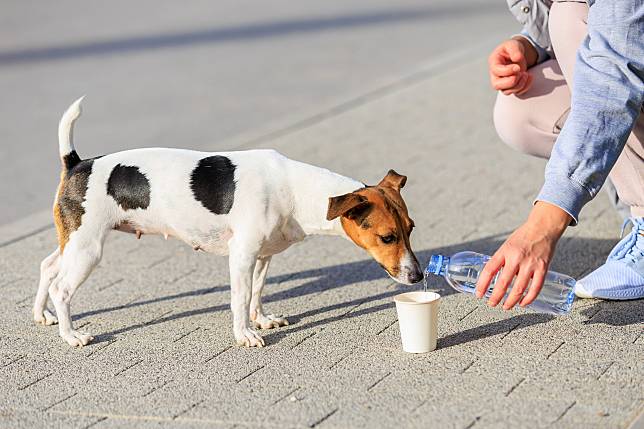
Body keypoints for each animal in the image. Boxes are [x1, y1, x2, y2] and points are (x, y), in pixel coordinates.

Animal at [35, 97, 422, 348]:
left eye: (411, 229)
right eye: (388, 237)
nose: (418, 276)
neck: (295, 189)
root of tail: (78, 163)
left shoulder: (263, 256)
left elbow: (258, 292)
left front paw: (261, 320)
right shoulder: (242, 256)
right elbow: (240, 298)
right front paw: (246, 334)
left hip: (73, 242)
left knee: (48, 266)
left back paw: (43, 315)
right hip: (88, 249)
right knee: (61, 288)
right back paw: (71, 335)